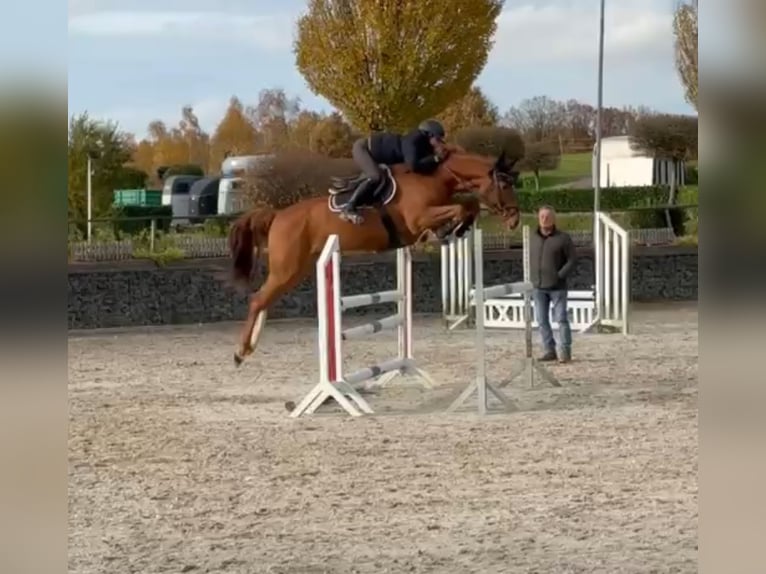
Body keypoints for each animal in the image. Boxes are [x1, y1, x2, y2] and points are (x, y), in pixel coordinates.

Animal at [227, 147, 521, 366]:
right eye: (504, 184)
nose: (515, 219)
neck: (433, 176)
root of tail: (277, 215)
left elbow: (468, 205)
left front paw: (455, 229)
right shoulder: (418, 219)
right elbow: (462, 207)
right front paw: (449, 230)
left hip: (296, 270)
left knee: (264, 300)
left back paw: (250, 347)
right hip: (287, 268)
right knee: (257, 300)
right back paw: (240, 351)